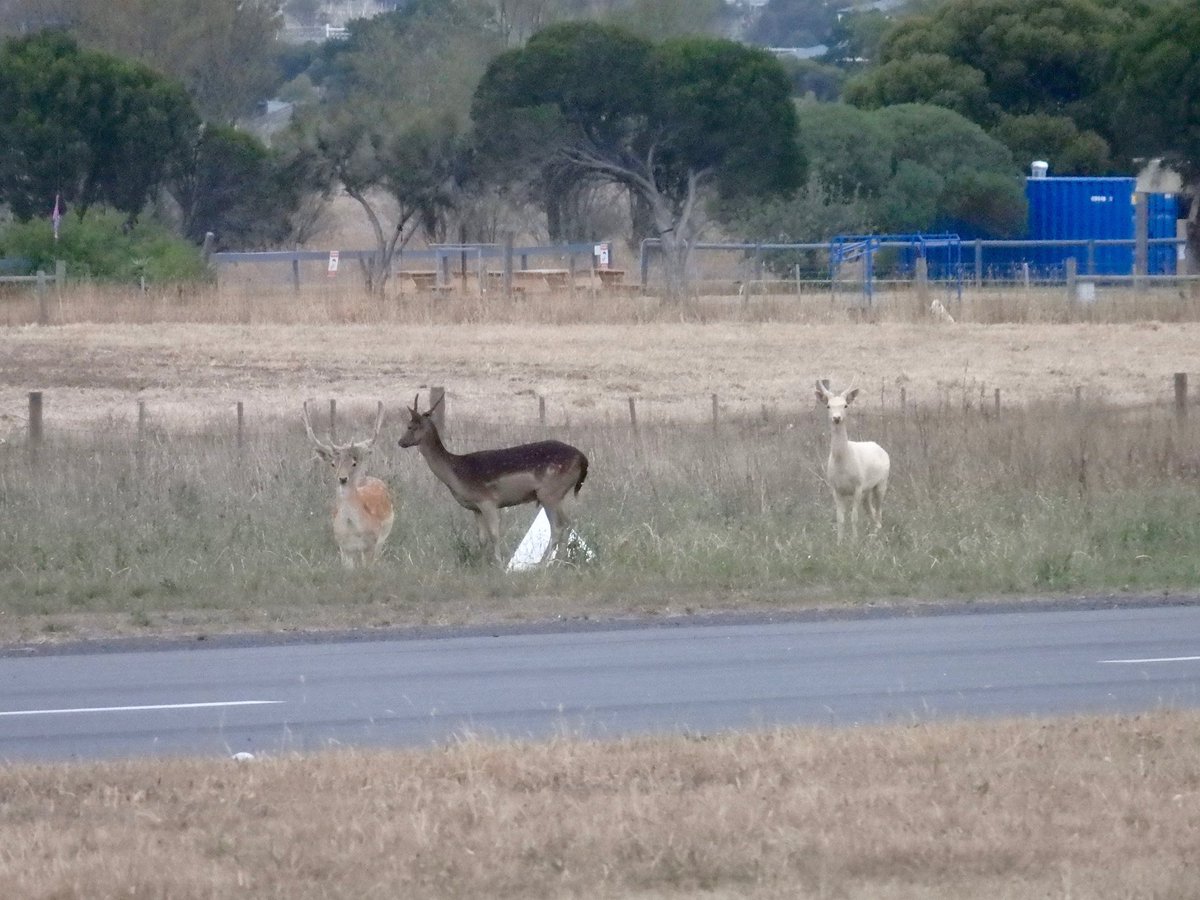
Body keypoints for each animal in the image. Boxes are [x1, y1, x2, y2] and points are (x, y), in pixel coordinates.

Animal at [302, 399, 395, 569]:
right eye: (333, 464)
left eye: (353, 463)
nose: (343, 478)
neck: (352, 528)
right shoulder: (343, 548)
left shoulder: (372, 544)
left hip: (382, 539)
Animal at [397, 393, 588, 566]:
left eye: (410, 426)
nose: (400, 442)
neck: (456, 473)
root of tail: (583, 459)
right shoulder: (476, 508)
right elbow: (481, 539)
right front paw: (483, 565)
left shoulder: (487, 500)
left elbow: (494, 534)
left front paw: (499, 565)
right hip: (556, 495)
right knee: (567, 524)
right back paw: (558, 562)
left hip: (550, 493)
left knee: (559, 526)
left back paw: (546, 564)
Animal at [815, 379, 890, 543]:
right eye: (828, 406)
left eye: (845, 405)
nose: (836, 418)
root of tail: (881, 448)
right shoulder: (836, 489)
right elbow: (840, 519)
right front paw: (840, 542)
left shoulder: (858, 486)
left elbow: (854, 518)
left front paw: (855, 542)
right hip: (867, 491)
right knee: (871, 510)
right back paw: (873, 534)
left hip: (881, 483)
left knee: (879, 511)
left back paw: (877, 535)